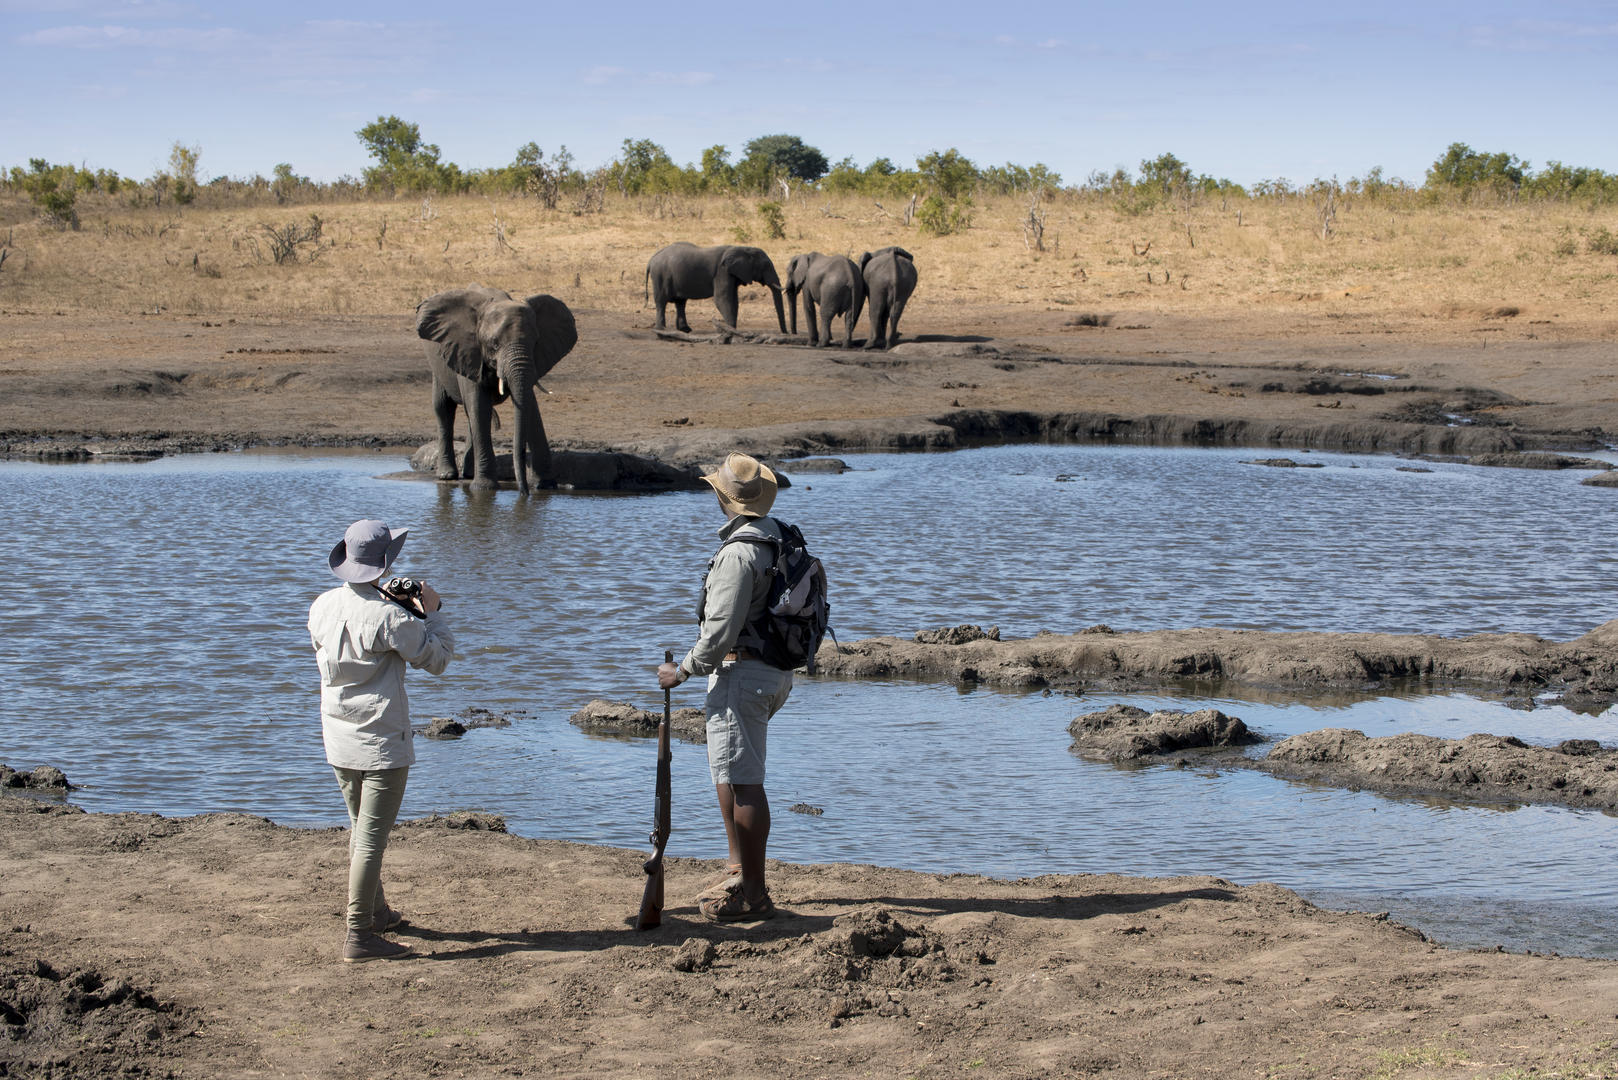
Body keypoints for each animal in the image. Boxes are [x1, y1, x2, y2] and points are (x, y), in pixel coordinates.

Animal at [416, 284, 577, 495]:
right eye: (494, 344)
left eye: (535, 342)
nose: (524, 493)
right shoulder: (469, 353)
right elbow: (479, 405)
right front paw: (484, 488)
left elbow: (530, 407)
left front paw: (546, 485)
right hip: (439, 363)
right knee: (444, 409)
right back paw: (447, 475)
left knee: (469, 415)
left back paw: (469, 472)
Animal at [645, 242, 787, 334]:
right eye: (766, 266)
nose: (785, 333)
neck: (743, 248)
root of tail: (651, 260)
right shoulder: (722, 272)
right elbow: (722, 299)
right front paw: (731, 331)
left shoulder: (731, 274)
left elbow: (733, 300)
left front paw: (731, 330)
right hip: (660, 275)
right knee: (661, 302)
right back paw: (661, 329)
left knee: (680, 303)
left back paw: (685, 330)